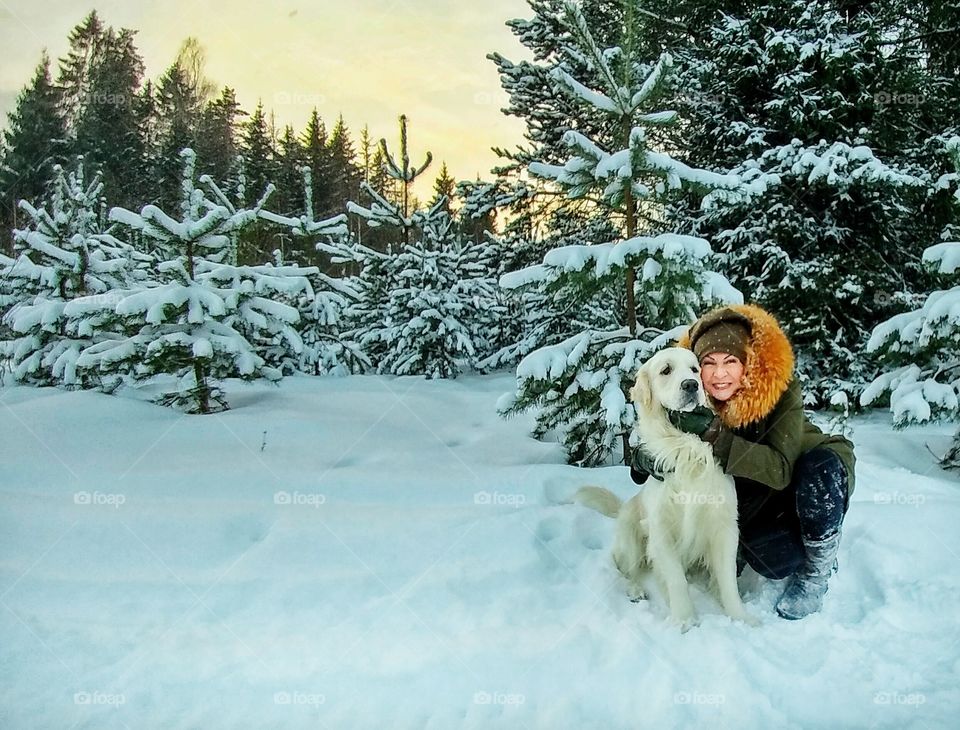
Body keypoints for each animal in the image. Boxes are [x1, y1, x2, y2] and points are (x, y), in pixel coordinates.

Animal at [576, 346, 756, 624]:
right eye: (666, 370)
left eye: (695, 369)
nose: (691, 385)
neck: (685, 449)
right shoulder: (661, 530)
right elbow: (676, 579)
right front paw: (685, 621)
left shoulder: (723, 526)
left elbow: (728, 581)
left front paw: (741, 618)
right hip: (631, 537)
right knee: (625, 568)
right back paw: (635, 589)